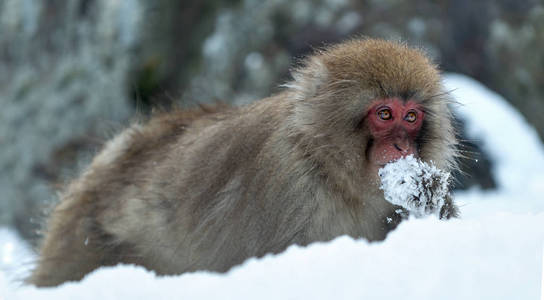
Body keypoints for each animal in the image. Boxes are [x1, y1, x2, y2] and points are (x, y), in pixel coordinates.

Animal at [29, 38, 460, 288]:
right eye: (385, 114)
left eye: (411, 117)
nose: (403, 146)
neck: (333, 171)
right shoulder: (289, 187)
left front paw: (427, 195)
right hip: (83, 242)